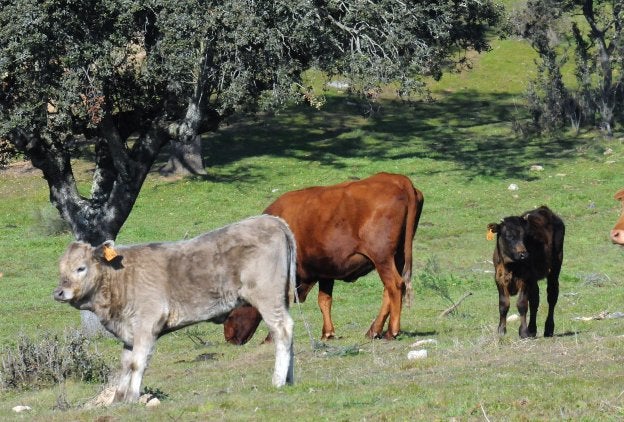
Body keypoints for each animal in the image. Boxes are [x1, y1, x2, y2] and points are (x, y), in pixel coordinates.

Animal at [54, 216, 298, 404]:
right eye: (60, 268)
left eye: (81, 268)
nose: (59, 292)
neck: (120, 278)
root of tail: (273, 221)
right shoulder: (129, 332)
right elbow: (125, 365)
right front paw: (118, 400)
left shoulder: (147, 323)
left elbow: (137, 363)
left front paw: (132, 398)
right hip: (280, 299)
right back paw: (290, 380)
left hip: (267, 297)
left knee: (282, 330)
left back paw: (277, 381)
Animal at [222, 171, 422, 342]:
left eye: (231, 309)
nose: (228, 337)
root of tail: (399, 180)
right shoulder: (326, 270)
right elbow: (324, 300)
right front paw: (328, 333)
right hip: (397, 256)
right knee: (389, 290)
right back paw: (374, 330)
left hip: (382, 258)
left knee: (394, 286)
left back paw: (391, 331)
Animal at [488, 206, 564, 338]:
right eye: (508, 235)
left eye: (525, 236)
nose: (523, 254)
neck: (511, 266)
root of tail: (545, 210)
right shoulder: (499, 278)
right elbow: (503, 305)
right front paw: (501, 330)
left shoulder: (525, 279)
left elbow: (522, 304)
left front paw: (523, 332)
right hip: (534, 280)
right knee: (535, 301)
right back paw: (532, 329)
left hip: (555, 268)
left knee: (552, 296)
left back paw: (548, 329)